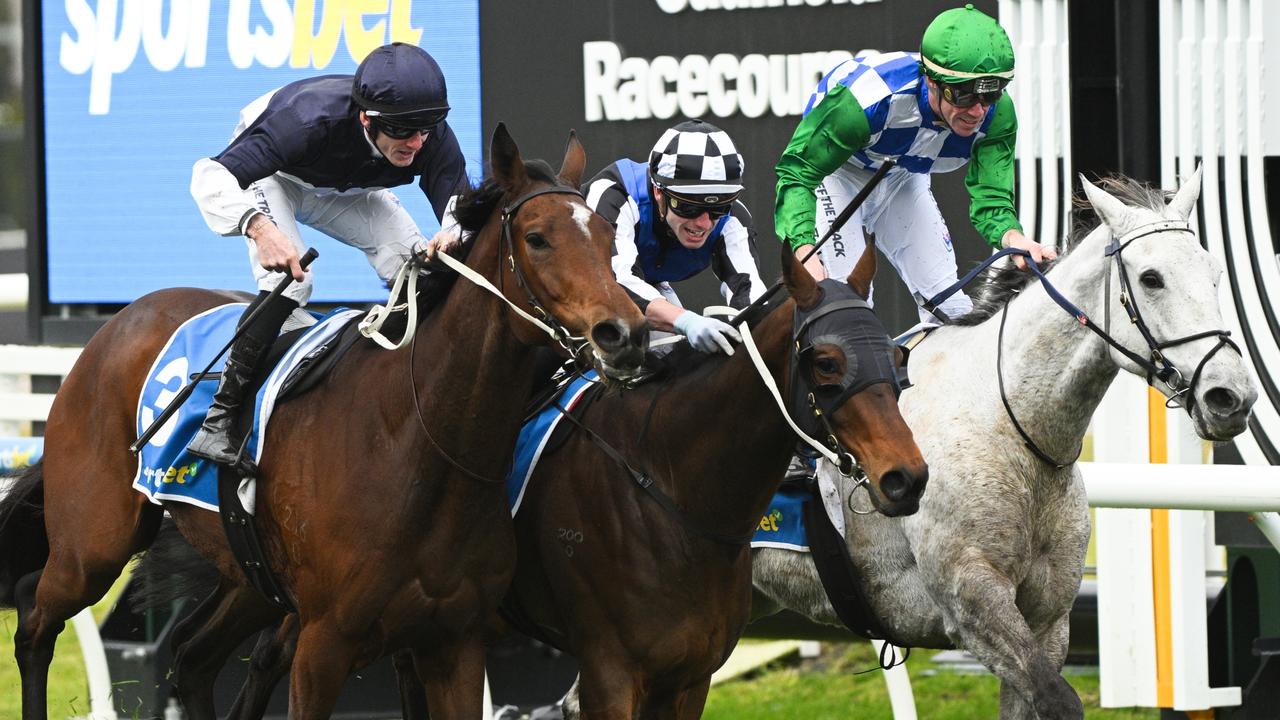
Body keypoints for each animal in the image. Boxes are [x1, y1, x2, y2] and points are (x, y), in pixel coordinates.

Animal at [2, 122, 650, 717]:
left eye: (605, 239)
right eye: (537, 239)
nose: (625, 334)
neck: (417, 442)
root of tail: (119, 321)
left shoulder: (455, 642)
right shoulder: (324, 642)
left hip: (248, 576)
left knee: (190, 657)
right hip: (93, 543)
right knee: (34, 620)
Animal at [127, 238, 931, 712]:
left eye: (897, 355)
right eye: (824, 362)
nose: (906, 478)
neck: (668, 487)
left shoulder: (690, 675)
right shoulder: (612, 670)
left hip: (264, 578)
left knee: (215, 653)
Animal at [747, 169, 1259, 717]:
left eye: (1214, 273)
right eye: (1151, 278)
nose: (1232, 396)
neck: (1009, 427)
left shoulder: (1047, 617)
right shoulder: (973, 602)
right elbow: (1057, 699)